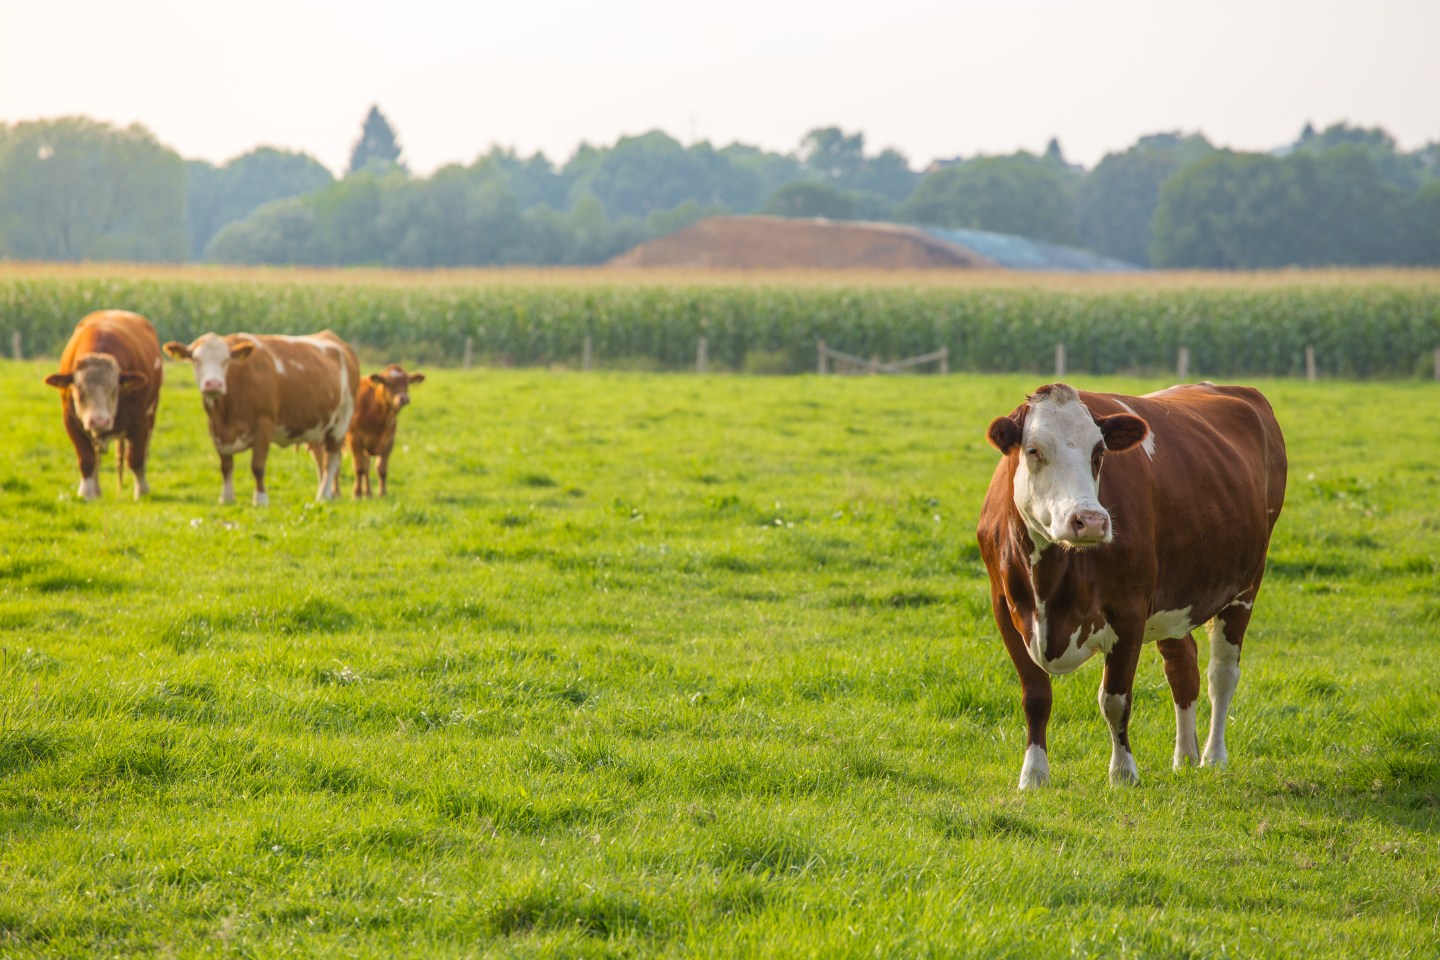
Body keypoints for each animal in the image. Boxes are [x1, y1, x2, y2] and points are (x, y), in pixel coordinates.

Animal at [44, 310, 164, 501]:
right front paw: (86, 493)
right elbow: (86, 459)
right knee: (96, 457)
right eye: (80, 389)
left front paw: (142, 492)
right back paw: (97, 490)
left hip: (150, 415)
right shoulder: (70, 421)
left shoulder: (140, 422)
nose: (99, 421)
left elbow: (136, 458)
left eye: (114, 389)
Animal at [163, 331, 359, 505]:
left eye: (226, 361)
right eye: (196, 360)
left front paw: (261, 499)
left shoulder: (263, 426)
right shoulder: (218, 431)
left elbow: (257, 466)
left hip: (340, 423)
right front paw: (226, 498)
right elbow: (226, 466)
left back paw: (324, 495)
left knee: (331, 461)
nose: (213, 384)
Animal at [344, 363, 424, 498]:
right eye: (388, 383)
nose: (404, 398)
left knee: (366, 465)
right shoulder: (354, 439)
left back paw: (368, 493)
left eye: (407, 382)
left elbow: (381, 469)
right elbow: (359, 468)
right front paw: (356, 494)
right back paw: (336, 492)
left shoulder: (389, 441)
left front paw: (383, 493)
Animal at [976, 382, 1286, 788]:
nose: (1090, 520)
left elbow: (1115, 699)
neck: (1050, 578)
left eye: (1099, 451)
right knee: (1183, 670)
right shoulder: (1006, 610)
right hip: (1173, 599)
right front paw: (1034, 775)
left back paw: (1212, 756)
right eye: (1033, 450)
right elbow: (1036, 696)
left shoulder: (1129, 612)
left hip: (1245, 586)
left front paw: (1123, 773)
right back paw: (1184, 757)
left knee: (1221, 675)